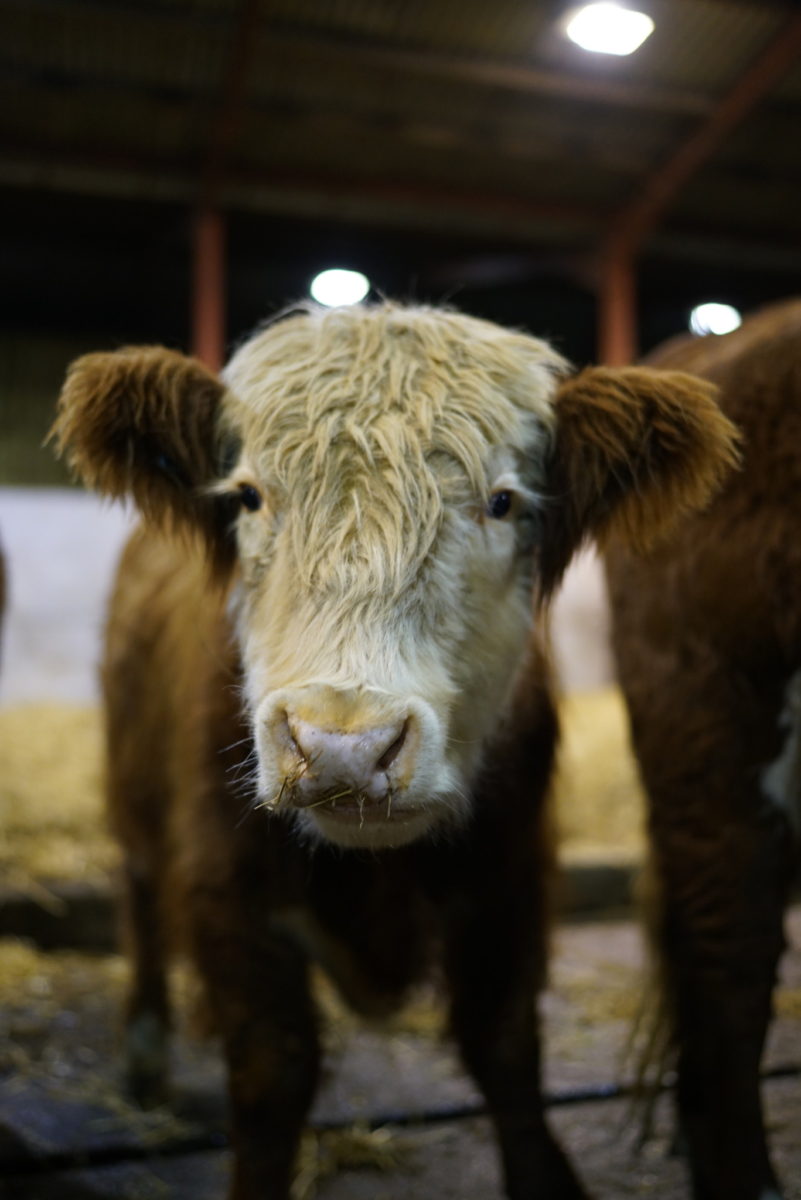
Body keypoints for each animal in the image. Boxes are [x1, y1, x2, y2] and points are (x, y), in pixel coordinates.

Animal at [51, 304, 738, 1200]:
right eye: (249, 495)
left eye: (502, 501)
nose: (342, 747)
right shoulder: (225, 888)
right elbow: (274, 1072)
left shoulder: (510, 882)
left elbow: (504, 1049)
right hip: (131, 790)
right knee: (136, 891)